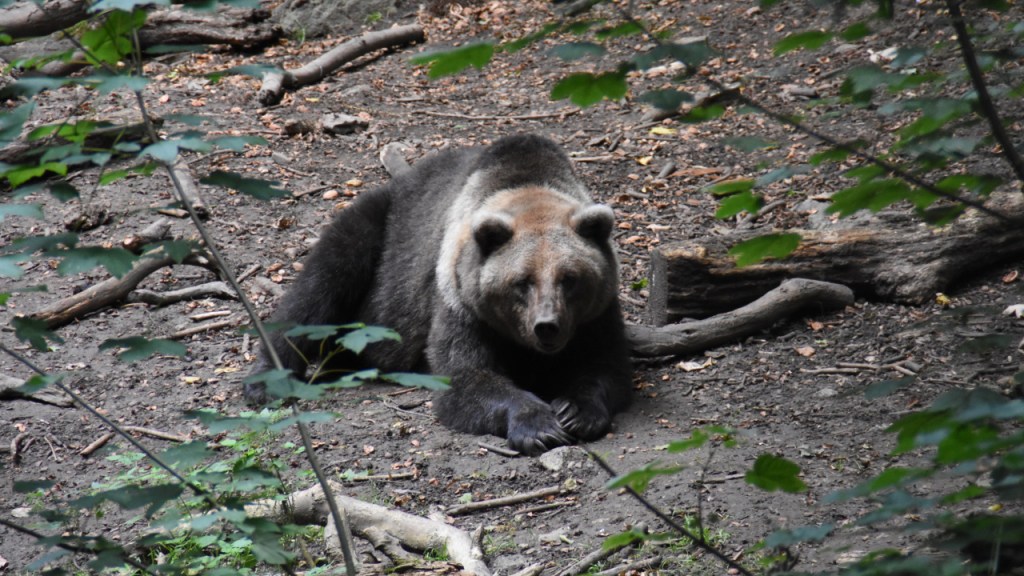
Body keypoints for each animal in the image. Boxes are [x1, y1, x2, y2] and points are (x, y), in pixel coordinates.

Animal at [245, 134, 632, 455]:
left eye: (569, 278)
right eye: (522, 281)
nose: (547, 325)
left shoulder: (595, 314)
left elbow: (604, 366)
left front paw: (575, 411)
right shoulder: (459, 302)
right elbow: (465, 376)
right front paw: (540, 426)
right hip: (379, 231)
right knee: (321, 285)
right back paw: (267, 380)